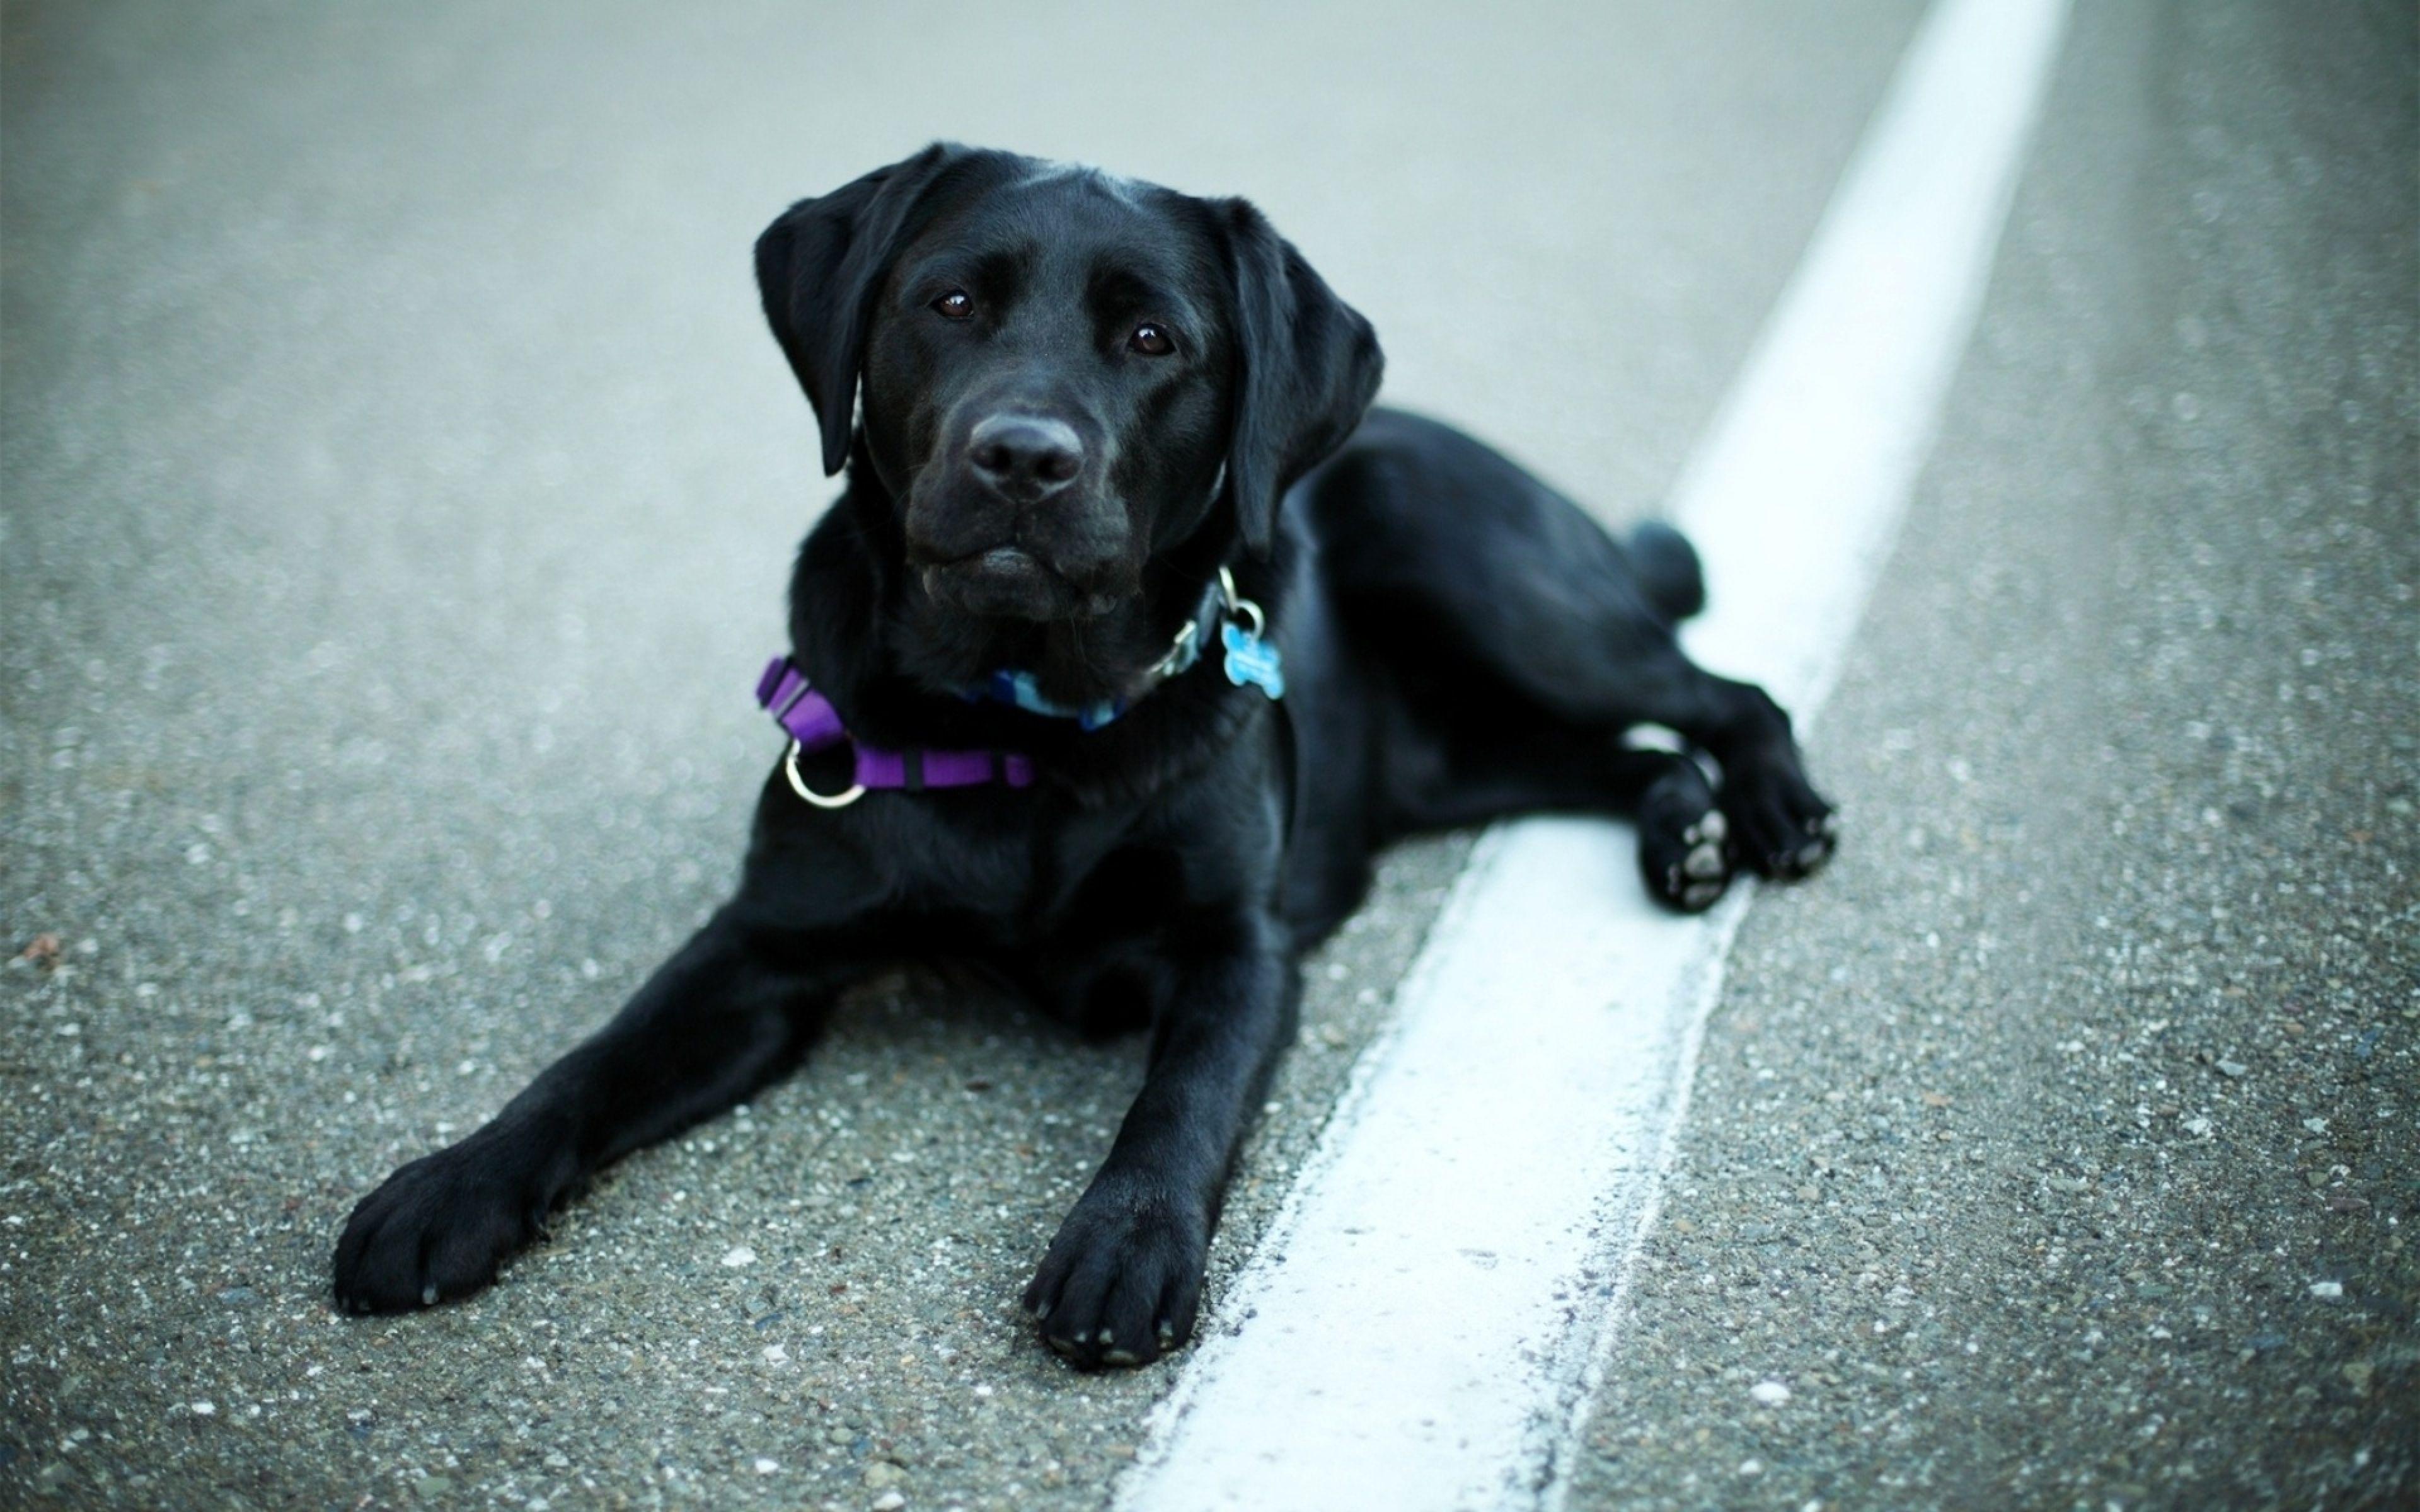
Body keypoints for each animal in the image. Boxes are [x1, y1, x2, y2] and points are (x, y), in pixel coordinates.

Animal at [326, 144, 1829, 1364]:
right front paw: (452, 1186)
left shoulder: (1241, 947)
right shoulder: (762, 947)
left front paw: (1125, 1247)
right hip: (1453, 753)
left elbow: (1182, 1100)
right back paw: (1683, 832)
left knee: (1720, 691)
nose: (1024, 457)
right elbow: (595, 1059)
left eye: (1156, 338)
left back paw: (1768, 810)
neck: (1019, 722)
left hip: (1478, 565)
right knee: (1611, 753)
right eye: (948, 304)